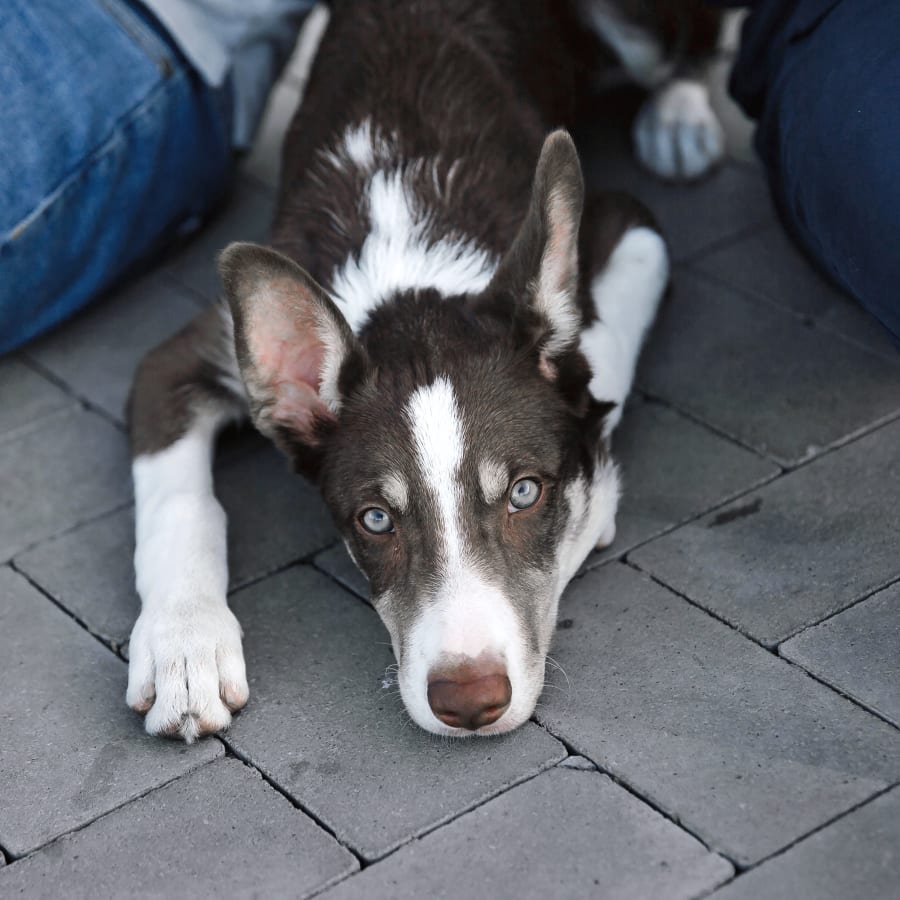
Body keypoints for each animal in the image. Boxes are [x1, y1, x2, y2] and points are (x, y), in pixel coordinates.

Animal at [125, 0, 724, 740]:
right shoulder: (182, 358)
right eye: (376, 520)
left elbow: (595, 357)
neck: (407, 245)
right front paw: (184, 647)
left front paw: (594, 496)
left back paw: (680, 118)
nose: (469, 702)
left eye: (525, 492)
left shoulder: (632, 227)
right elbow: (178, 503)